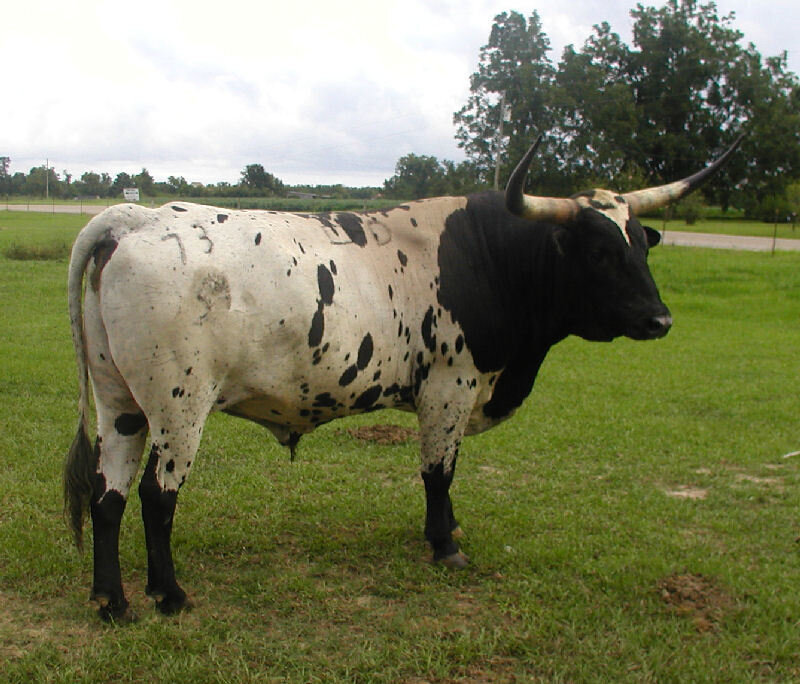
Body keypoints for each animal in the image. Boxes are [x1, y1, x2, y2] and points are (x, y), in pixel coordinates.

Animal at [65, 135, 742, 621]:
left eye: (641, 247)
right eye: (599, 252)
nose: (660, 319)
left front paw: (447, 531)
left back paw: (112, 603)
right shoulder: (450, 383)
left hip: (119, 403)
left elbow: (447, 469)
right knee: (156, 496)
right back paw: (169, 596)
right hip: (178, 406)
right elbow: (439, 471)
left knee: (107, 495)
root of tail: (134, 220)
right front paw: (445, 546)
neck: (491, 256)